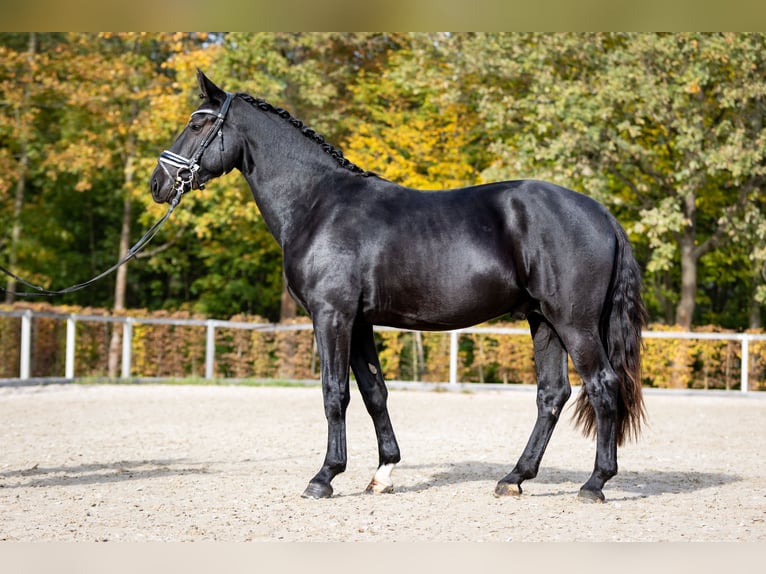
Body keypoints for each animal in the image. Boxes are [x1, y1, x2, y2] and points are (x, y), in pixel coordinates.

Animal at [152, 72, 648, 504]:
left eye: (197, 123)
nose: (159, 183)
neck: (318, 204)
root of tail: (601, 214)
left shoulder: (331, 316)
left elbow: (335, 393)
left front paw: (324, 477)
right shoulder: (359, 323)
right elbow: (374, 393)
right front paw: (383, 472)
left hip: (574, 323)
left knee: (602, 385)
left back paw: (594, 484)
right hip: (542, 320)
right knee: (552, 395)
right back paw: (514, 478)